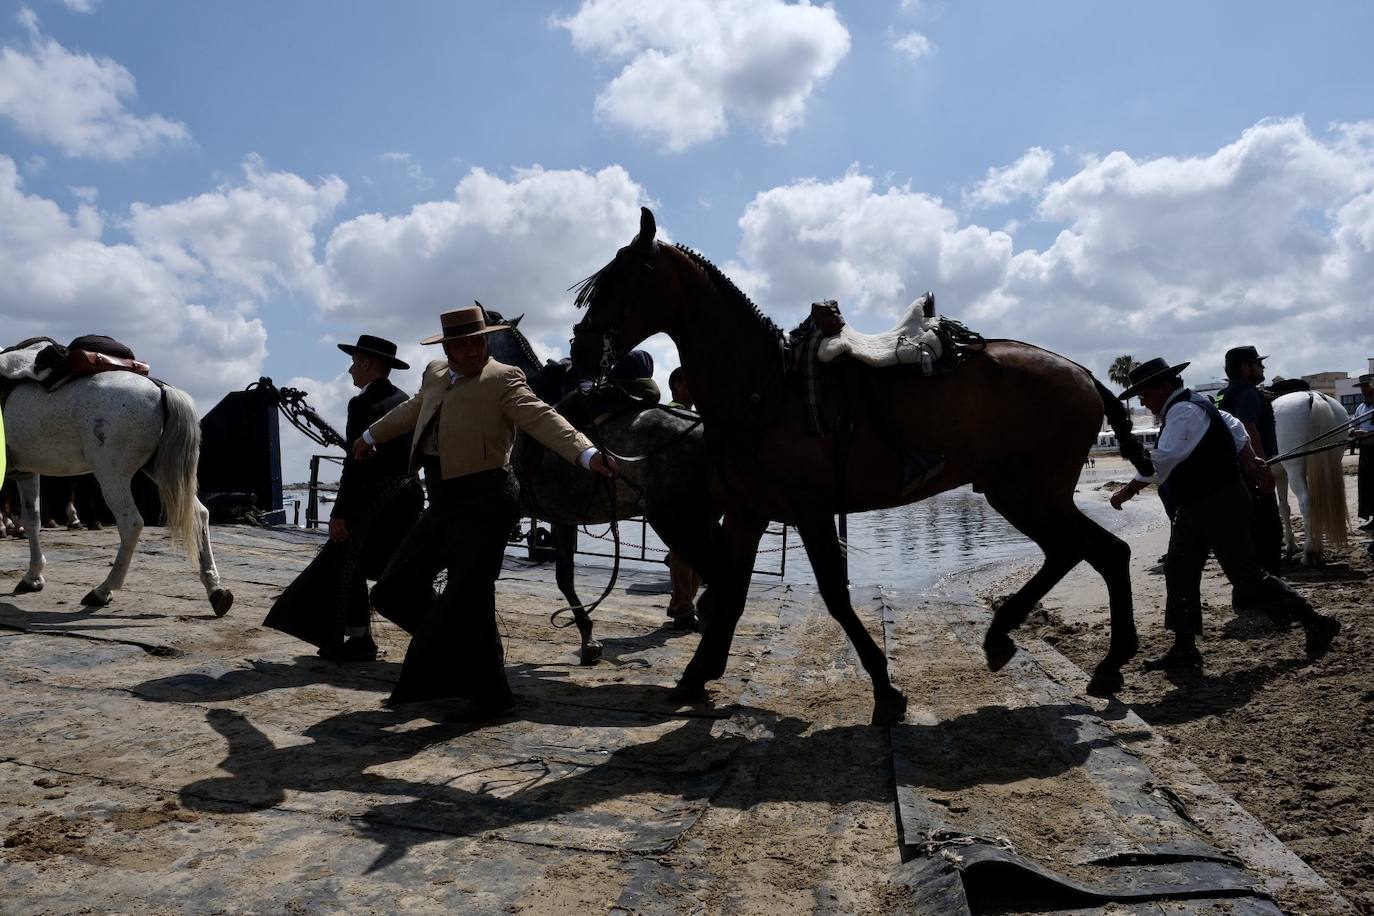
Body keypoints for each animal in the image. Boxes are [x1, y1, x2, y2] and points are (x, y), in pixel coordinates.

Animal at [571, 207, 1159, 725]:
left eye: (623, 277)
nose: (579, 350)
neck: (765, 389)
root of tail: (1083, 374)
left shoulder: (809, 512)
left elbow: (833, 595)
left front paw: (885, 688)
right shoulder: (745, 514)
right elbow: (731, 593)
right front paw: (697, 674)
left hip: (1025, 492)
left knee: (1095, 551)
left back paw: (1081, 655)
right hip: (1027, 493)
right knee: (1089, 552)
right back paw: (1053, 650)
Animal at [1269, 390, 1346, 563]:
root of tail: (1312, 395)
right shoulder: (1280, 476)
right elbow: (1283, 507)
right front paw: (1290, 546)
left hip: (1295, 468)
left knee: (1306, 503)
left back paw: (1309, 551)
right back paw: (1317, 549)